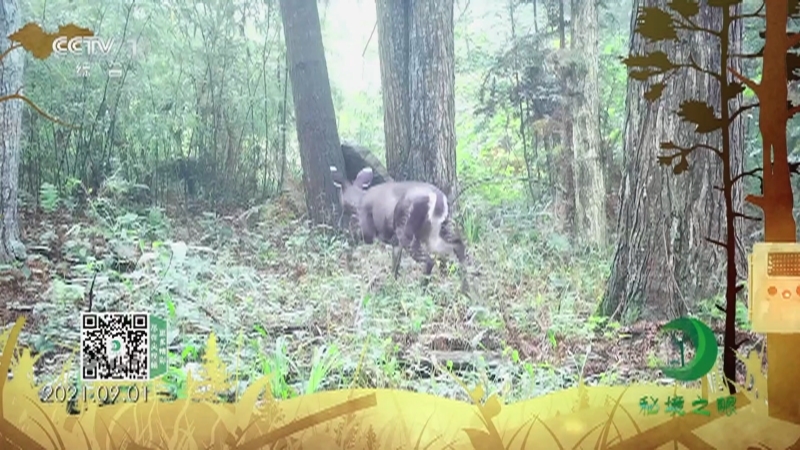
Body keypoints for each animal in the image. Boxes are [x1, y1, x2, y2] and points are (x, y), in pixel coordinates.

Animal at [330, 165, 469, 293]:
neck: (358, 201)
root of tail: (438, 198)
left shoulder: (368, 231)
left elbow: (351, 240)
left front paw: (350, 268)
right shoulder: (395, 242)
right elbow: (395, 263)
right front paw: (392, 282)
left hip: (407, 231)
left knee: (430, 260)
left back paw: (422, 289)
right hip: (437, 229)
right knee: (458, 245)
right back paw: (466, 287)